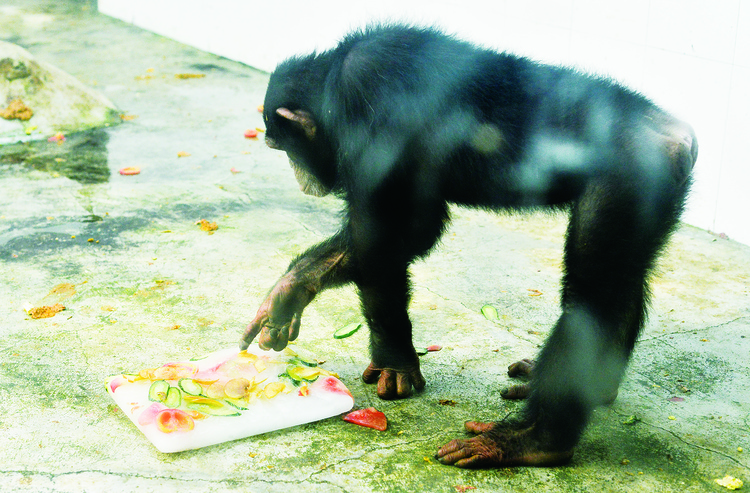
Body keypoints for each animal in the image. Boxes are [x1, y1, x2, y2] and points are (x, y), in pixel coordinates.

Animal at [241, 25, 700, 468]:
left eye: (282, 145)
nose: (296, 172)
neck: (334, 81)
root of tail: (677, 135)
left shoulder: (369, 99)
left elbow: (387, 235)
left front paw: (394, 363)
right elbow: (405, 234)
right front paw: (290, 291)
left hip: (630, 177)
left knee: (591, 300)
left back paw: (531, 440)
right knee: (626, 283)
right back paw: (586, 387)